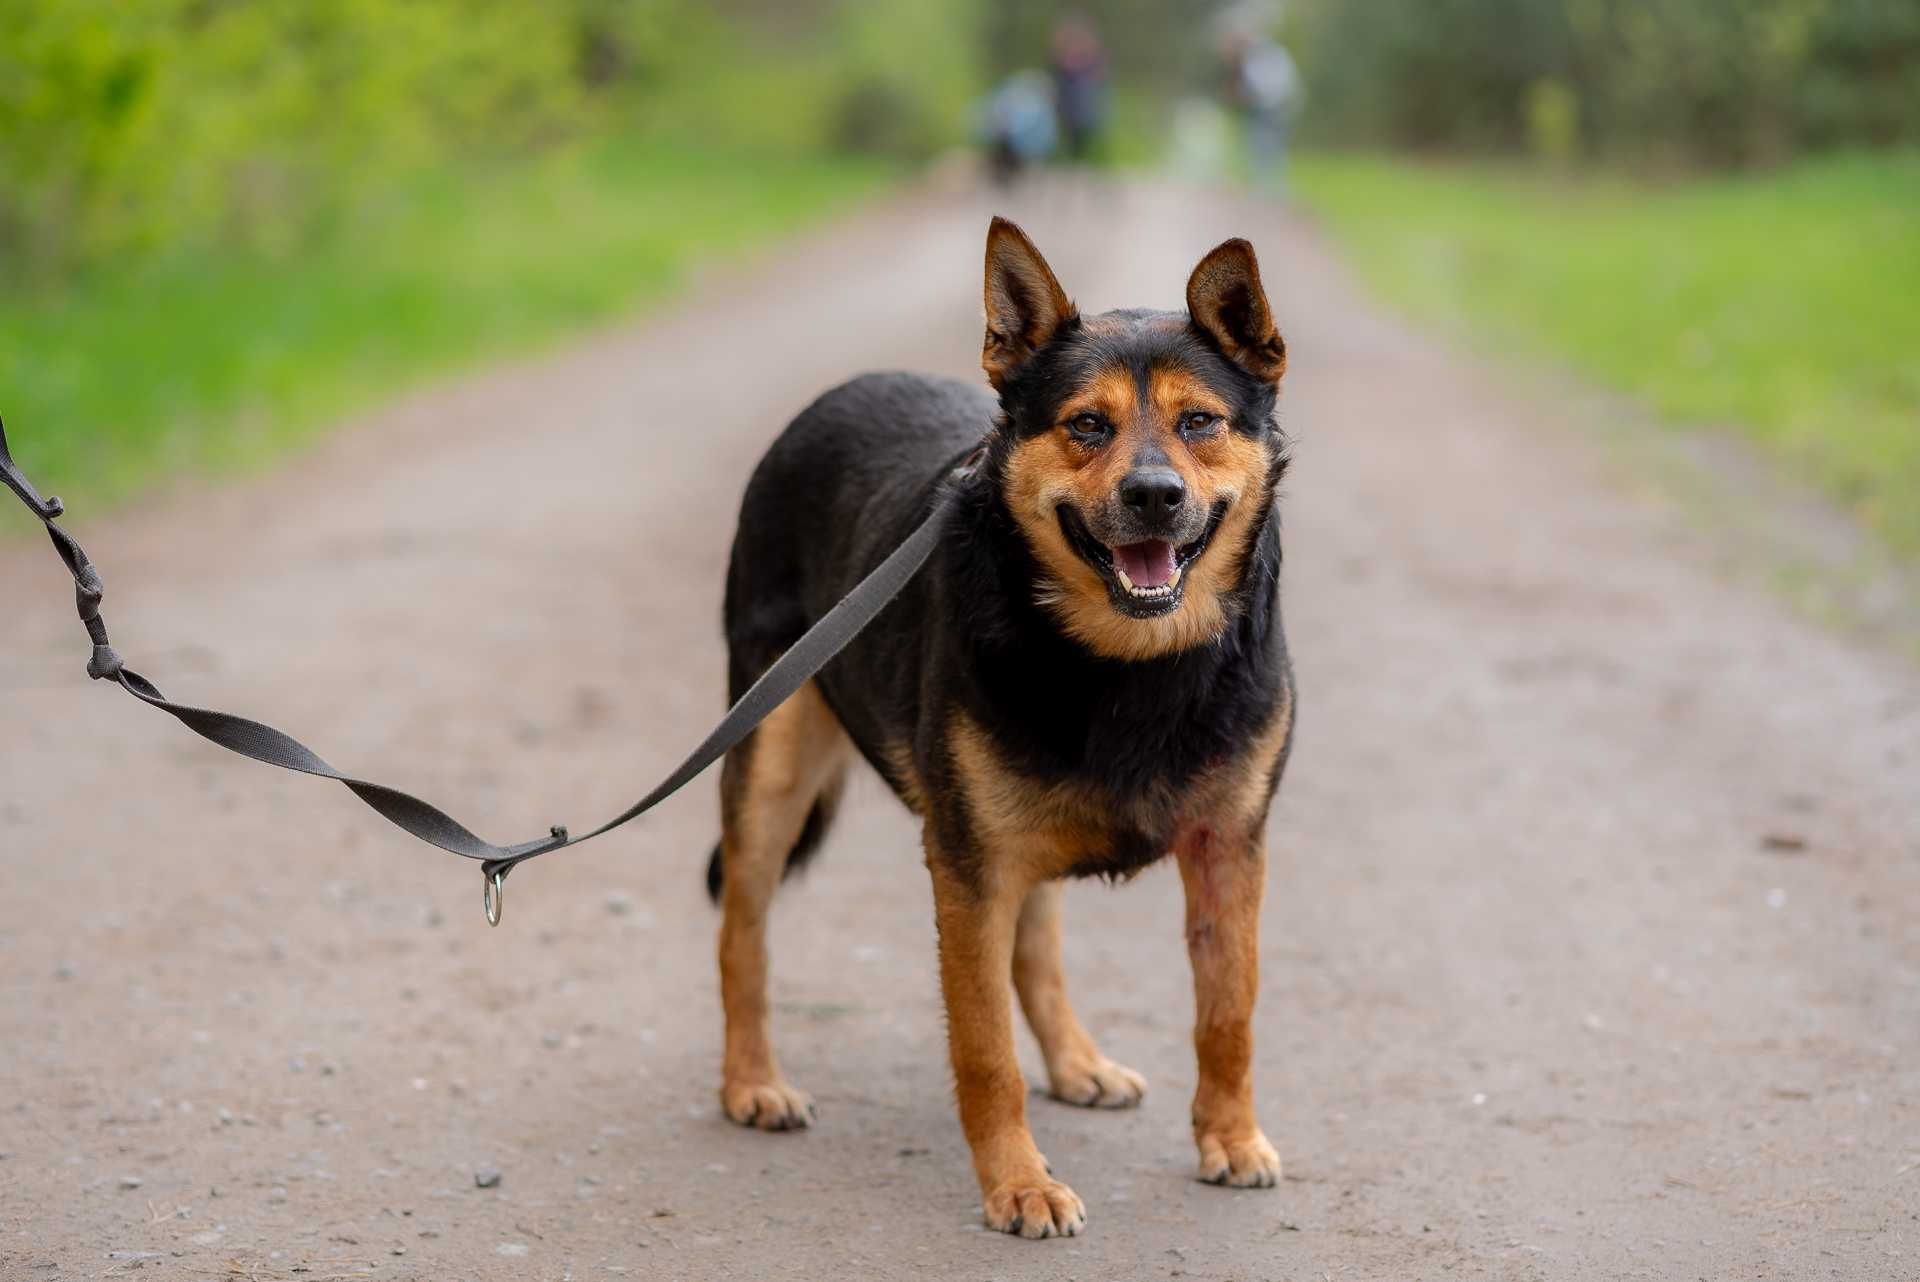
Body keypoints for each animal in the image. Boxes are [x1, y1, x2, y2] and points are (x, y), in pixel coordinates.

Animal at [702, 220, 1290, 1243]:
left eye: (1200, 423)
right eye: (1086, 425)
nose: (1154, 496)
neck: (1130, 660)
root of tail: (832, 396)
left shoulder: (1229, 847)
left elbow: (1228, 1012)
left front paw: (1229, 1138)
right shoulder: (968, 867)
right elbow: (984, 1052)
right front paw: (1018, 1184)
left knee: (1038, 948)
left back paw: (1078, 1063)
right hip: (773, 767)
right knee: (742, 937)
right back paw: (752, 1085)